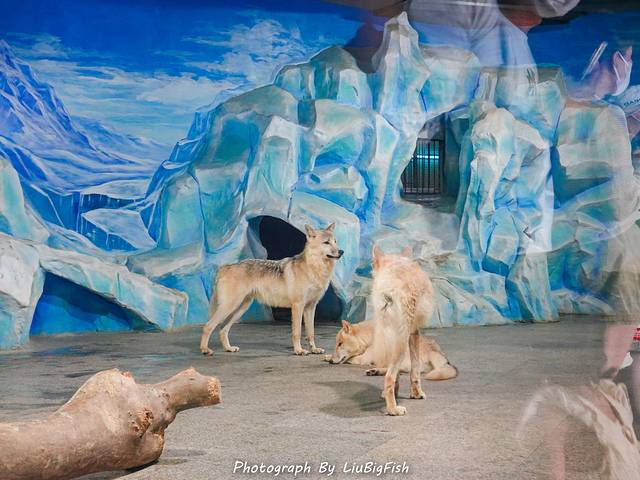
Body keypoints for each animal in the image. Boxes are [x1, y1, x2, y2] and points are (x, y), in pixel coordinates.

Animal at [199, 223, 343, 356]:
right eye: (326, 242)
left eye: (335, 241)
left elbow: (311, 332)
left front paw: (314, 349)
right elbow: (297, 332)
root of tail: (225, 267)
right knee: (208, 326)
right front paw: (299, 350)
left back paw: (229, 348)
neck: (314, 268)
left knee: (223, 329)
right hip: (230, 307)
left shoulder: (311, 307)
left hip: (240, 309)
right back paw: (205, 350)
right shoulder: (298, 306)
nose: (341, 251)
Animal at [324, 319, 457, 381]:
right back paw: (375, 371)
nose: (331, 362)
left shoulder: (363, 358)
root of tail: (435, 351)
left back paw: (374, 370)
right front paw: (327, 356)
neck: (369, 336)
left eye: (340, 344)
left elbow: (350, 359)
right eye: (336, 344)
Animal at [365, 245, 435, 416]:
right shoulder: (414, 333)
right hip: (401, 343)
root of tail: (388, 287)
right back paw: (393, 410)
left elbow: (398, 377)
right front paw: (417, 394)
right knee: (389, 377)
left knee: (390, 374)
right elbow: (415, 370)